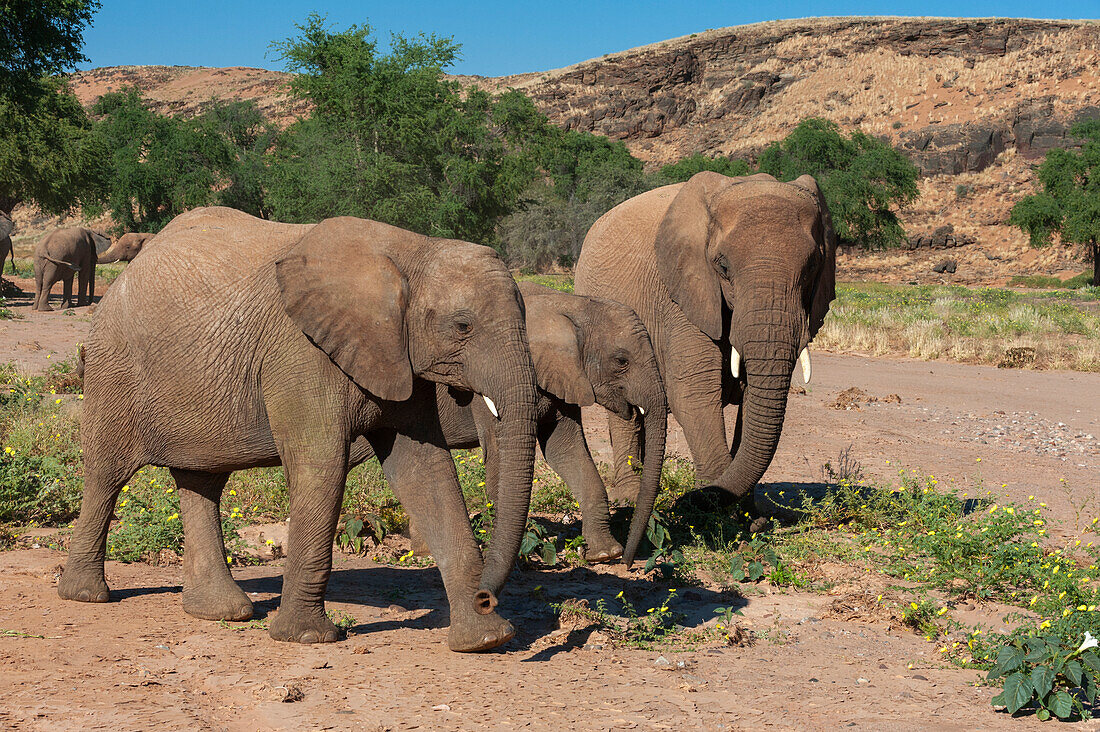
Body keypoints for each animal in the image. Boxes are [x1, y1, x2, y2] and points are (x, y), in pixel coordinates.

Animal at [58, 205, 539, 651]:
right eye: (463, 326)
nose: (486, 597)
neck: (412, 249)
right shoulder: (302, 353)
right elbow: (320, 468)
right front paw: (307, 638)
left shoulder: (397, 356)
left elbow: (428, 470)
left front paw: (485, 640)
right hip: (113, 368)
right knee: (106, 475)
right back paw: (86, 595)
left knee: (202, 482)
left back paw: (221, 612)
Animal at [572, 171, 836, 512]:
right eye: (722, 266)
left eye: (813, 266)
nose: (687, 500)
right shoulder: (682, 294)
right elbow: (694, 392)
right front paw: (715, 509)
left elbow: (754, 401)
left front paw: (746, 514)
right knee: (625, 413)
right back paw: (629, 497)